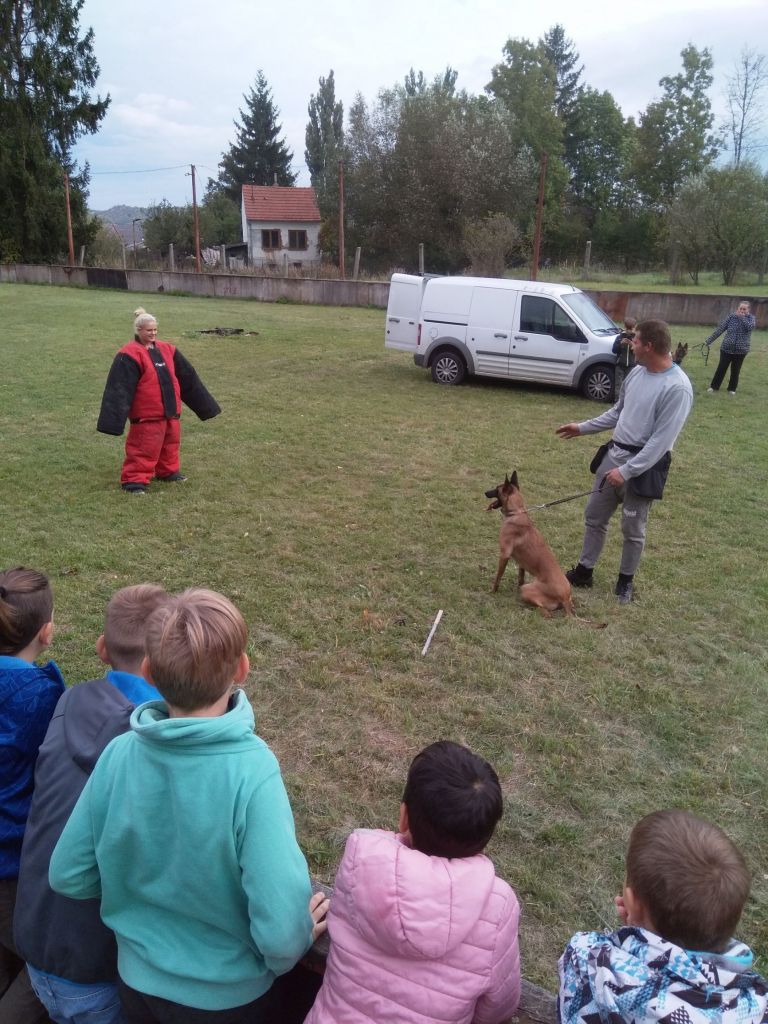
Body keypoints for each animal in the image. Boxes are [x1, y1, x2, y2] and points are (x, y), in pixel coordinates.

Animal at [485, 472, 575, 618]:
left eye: (497, 489)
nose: (485, 492)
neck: (516, 512)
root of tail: (565, 598)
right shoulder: (521, 562)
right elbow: (520, 577)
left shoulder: (504, 555)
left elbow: (498, 576)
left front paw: (493, 590)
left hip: (528, 589)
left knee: (546, 613)